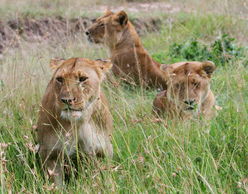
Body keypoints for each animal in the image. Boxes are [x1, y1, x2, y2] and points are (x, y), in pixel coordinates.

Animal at [36, 57, 113, 185]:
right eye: (60, 79)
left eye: (82, 79)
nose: (67, 100)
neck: (78, 123)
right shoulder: (50, 154)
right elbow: (56, 183)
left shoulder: (101, 152)